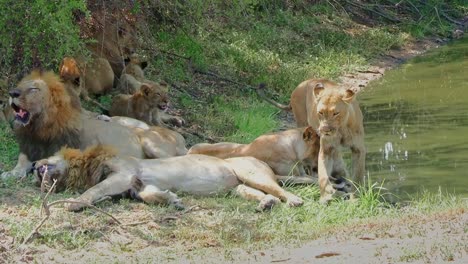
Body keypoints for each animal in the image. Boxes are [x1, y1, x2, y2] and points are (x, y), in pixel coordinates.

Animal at [0, 70, 180, 179]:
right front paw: (10, 173)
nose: (12, 93)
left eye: (33, 89)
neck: (40, 127)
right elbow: (21, 162)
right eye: (19, 86)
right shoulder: (29, 148)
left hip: (152, 144)